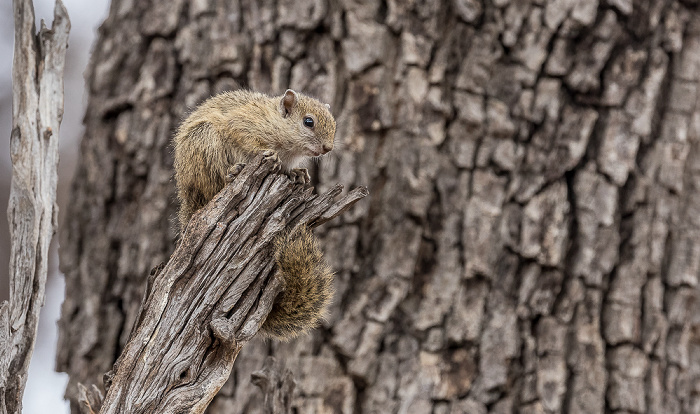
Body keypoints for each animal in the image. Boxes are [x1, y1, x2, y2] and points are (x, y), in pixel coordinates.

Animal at [175, 88, 340, 340]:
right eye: (308, 122)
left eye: (334, 123)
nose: (327, 148)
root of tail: (189, 198)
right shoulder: (245, 122)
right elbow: (242, 135)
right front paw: (268, 155)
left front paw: (298, 174)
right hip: (203, 141)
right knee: (216, 182)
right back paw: (233, 172)